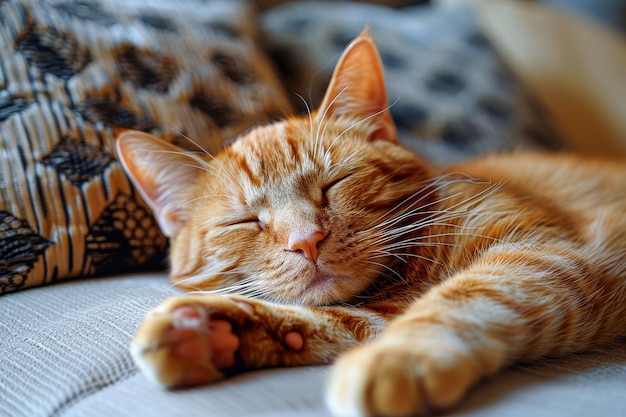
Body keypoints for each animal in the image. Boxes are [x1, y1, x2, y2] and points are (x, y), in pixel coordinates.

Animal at [116, 30, 624, 416]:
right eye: (245, 221)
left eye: (333, 184)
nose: (307, 241)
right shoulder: (374, 312)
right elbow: (329, 319)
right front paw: (210, 331)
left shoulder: (548, 254)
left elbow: (462, 298)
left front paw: (398, 358)